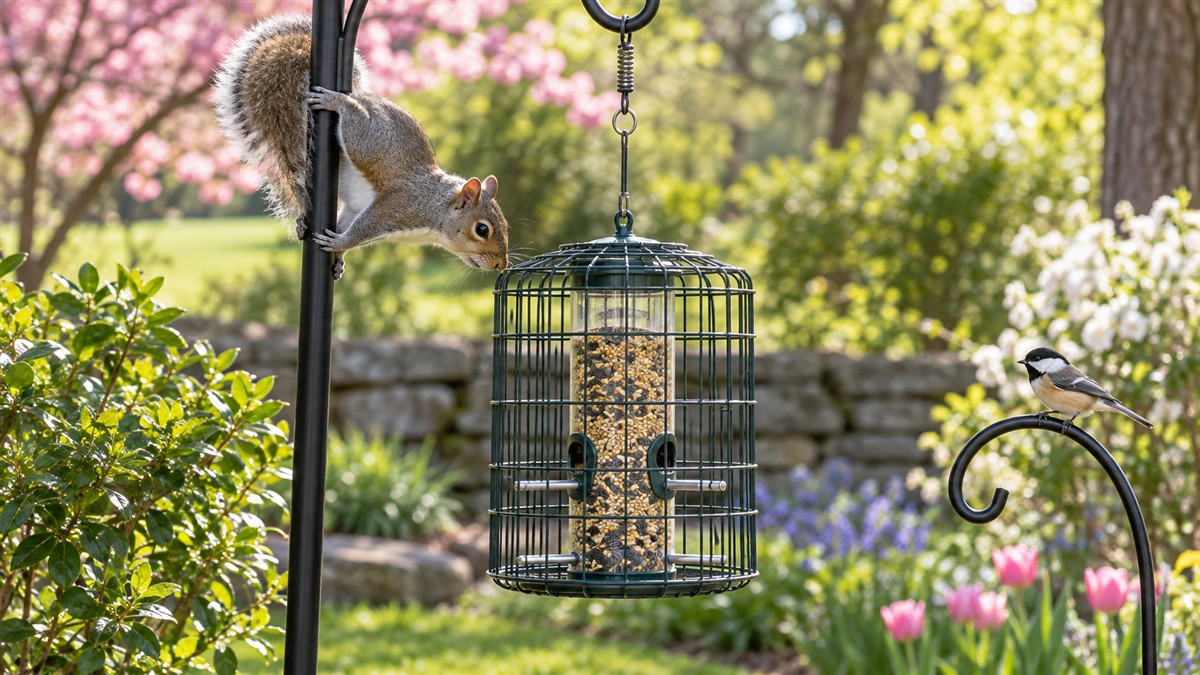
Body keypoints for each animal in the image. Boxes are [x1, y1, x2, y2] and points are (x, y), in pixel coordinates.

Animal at [213, 14, 509, 278]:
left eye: (505, 225)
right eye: (482, 230)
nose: (500, 265)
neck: (436, 211)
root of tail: (359, 94)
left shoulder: (356, 208)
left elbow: (347, 222)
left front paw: (339, 255)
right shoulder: (397, 208)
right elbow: (362, 230)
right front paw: (340, 243)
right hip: (366, 140)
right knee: (351, 121)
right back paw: (337, 103)